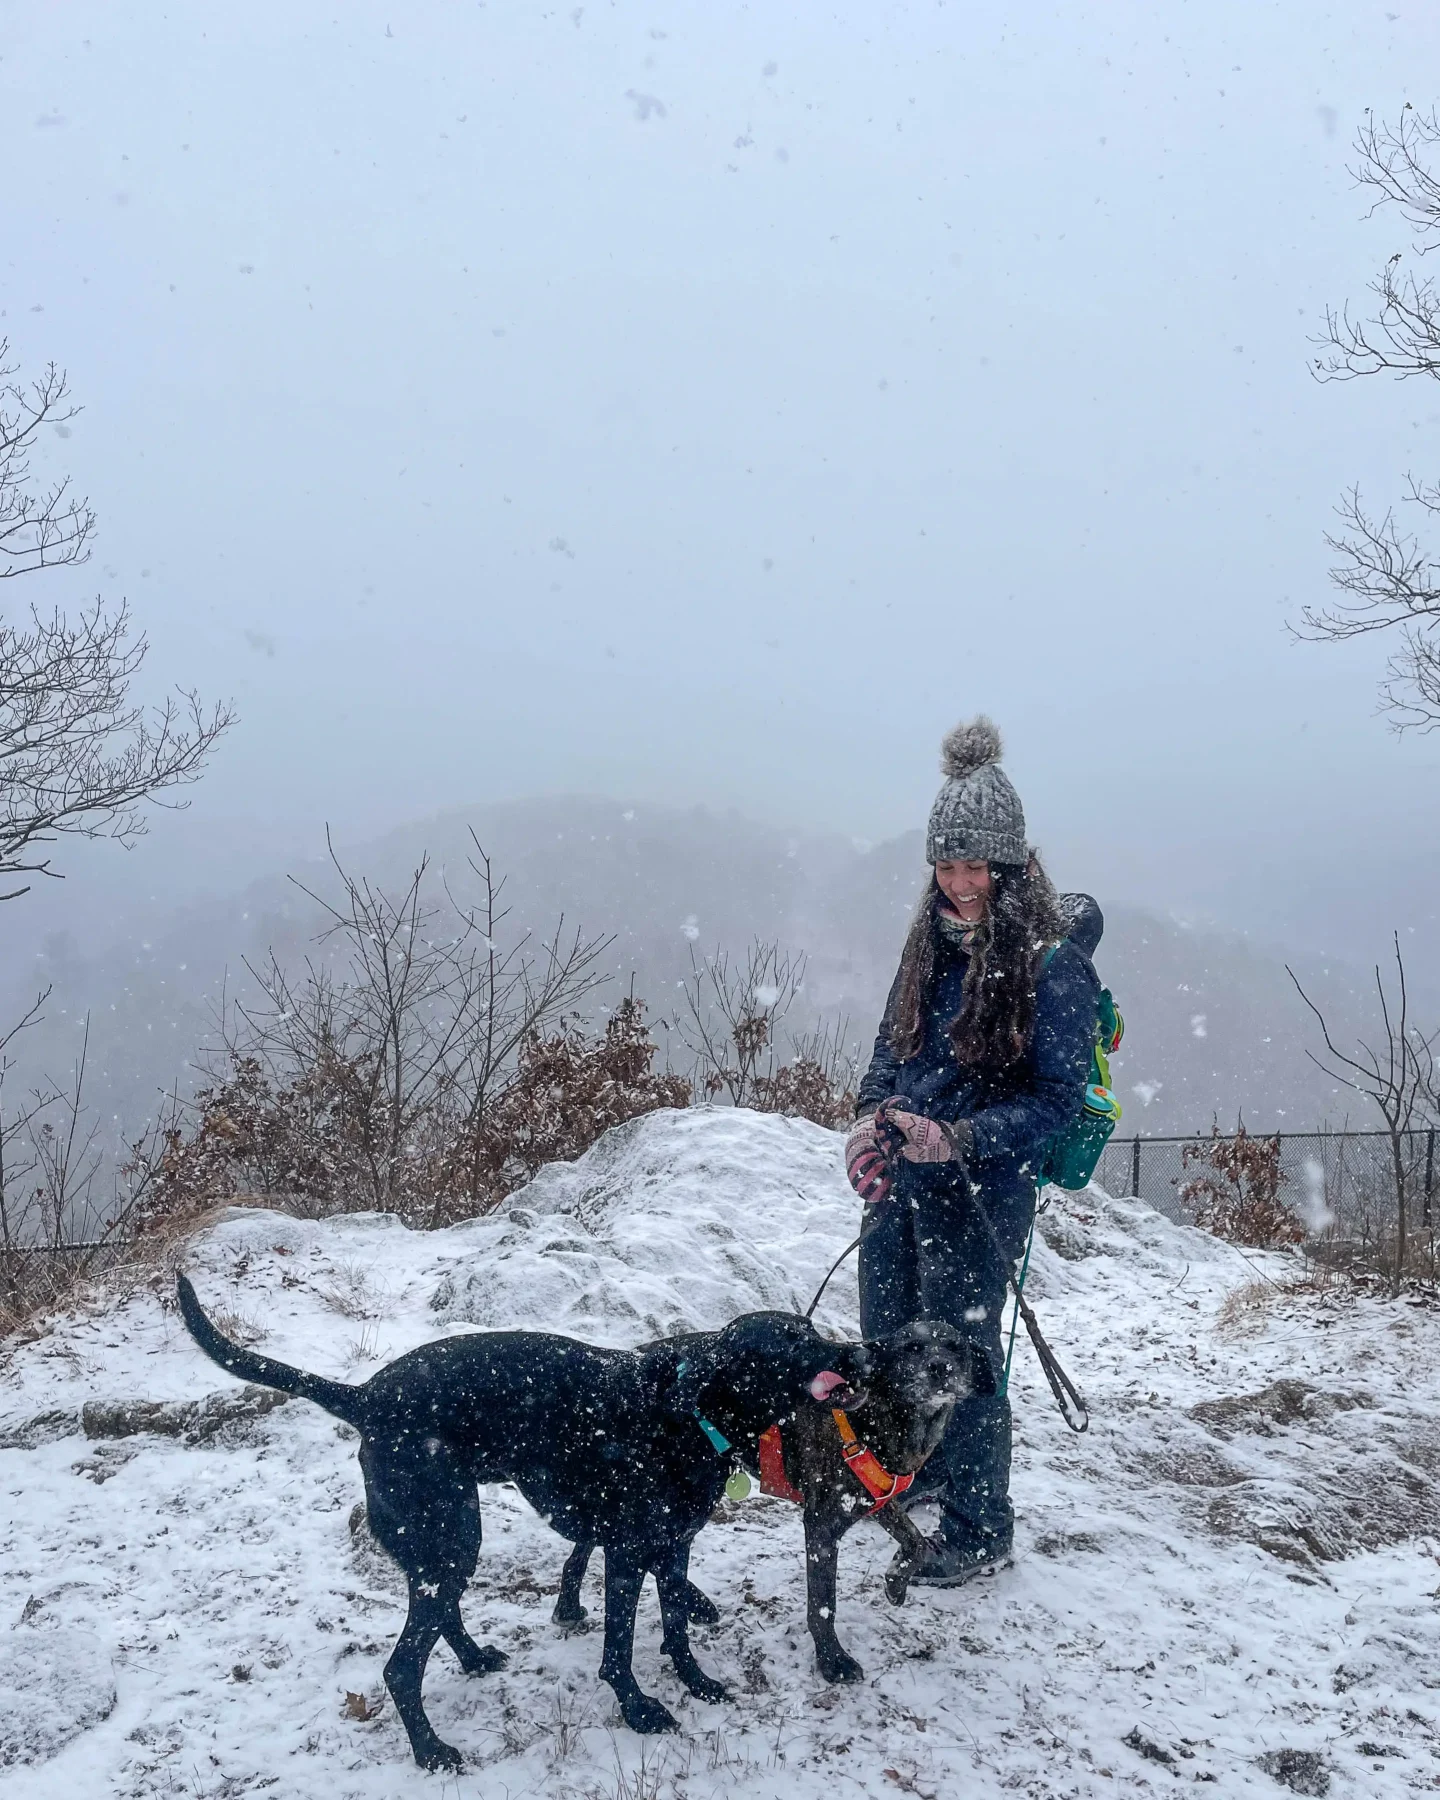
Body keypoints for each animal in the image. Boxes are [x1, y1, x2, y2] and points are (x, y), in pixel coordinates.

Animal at [174, 1281, 871, 1771]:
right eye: (792, 1340)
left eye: (812, 1328)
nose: (860, 1352)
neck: (687, 1410)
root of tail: (366, 1396)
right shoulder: (627, 1555)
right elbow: (619, 1649)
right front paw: (639, 1710)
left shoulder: (674, 1550)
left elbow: (676, 1626)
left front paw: (696, 1683)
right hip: (451, 1537)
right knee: (401, 1666)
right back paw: (431, 1752)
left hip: (448, 1545)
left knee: (441, 1619)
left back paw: (474, 1659)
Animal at [558, 1324, 972, 1684]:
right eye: (911, 1348)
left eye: (956, 1347)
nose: (942, 1368)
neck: (879, 1419)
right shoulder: (822, 1525)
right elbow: (823, 1604)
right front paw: (832, 1660)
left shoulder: (877, 1498)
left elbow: (916, 1541)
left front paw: (896, 1582)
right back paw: (572, 1604)